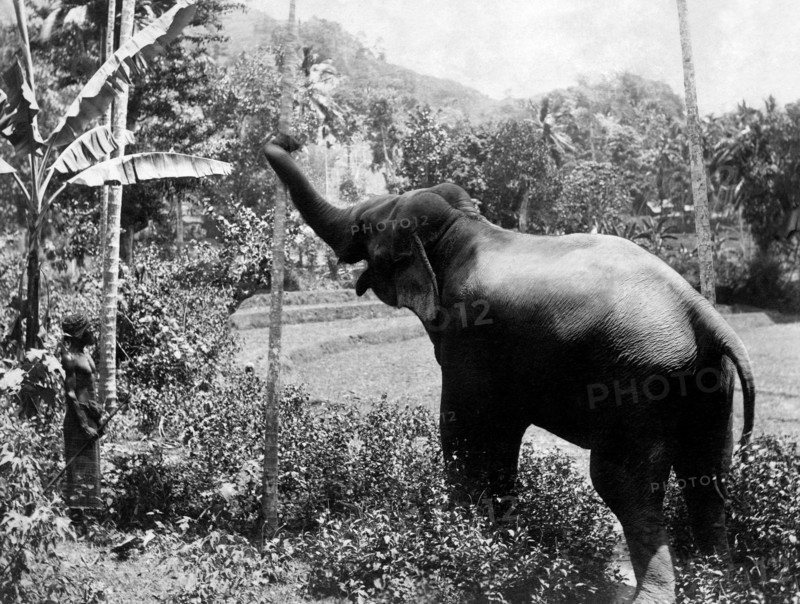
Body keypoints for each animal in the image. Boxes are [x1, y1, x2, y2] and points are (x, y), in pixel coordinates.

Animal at [263, 135, 756, 604]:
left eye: (364, 228)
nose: (288, 139)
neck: (461, 225)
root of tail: (697, 308)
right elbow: (501, 435)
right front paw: (501, 542)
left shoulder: (468, 334)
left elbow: (462, 427)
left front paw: (459, 539)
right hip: (708, 383)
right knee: (707, 475)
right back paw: (719, 585)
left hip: (638, 379)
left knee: (623, 483)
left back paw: (652, 596)